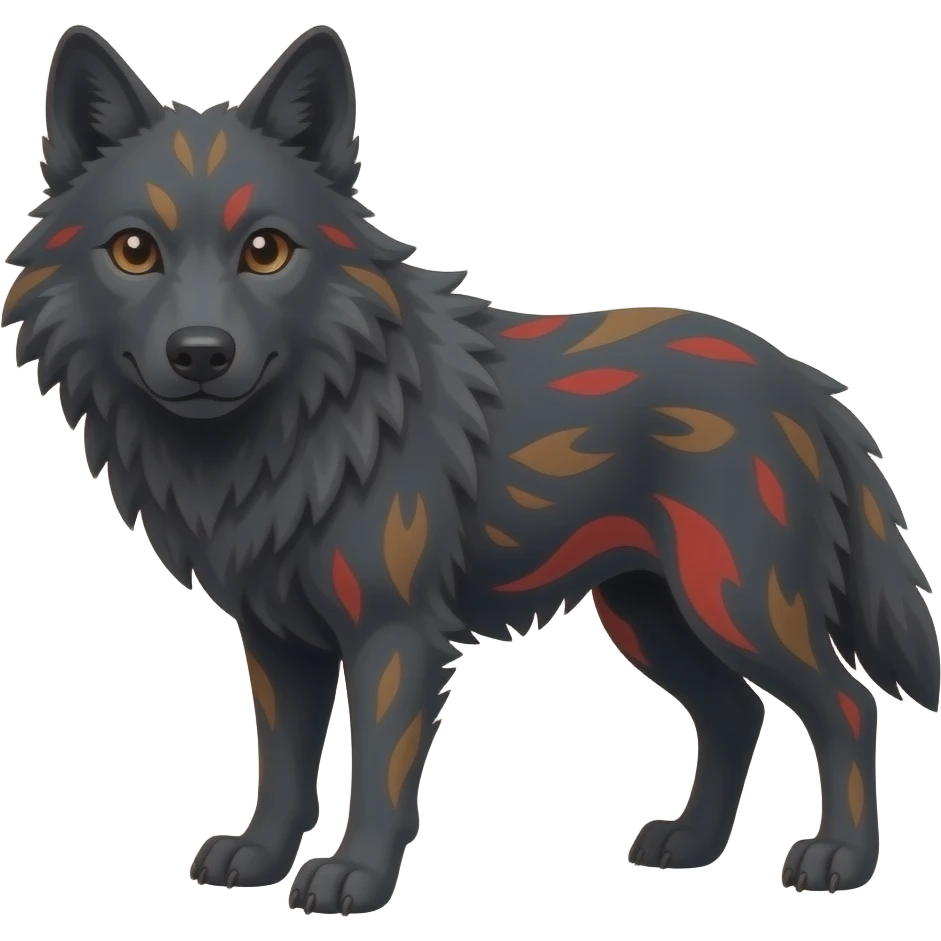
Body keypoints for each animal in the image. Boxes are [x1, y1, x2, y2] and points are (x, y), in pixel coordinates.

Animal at [3, 24, 937, 913]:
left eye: (265, 251)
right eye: (134, 250)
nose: (200, 354)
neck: (304, 430)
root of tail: (800, 378)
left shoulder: (394, 633)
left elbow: (378, 776)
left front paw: (353, 878)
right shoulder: (277, 640)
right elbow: (284, 768)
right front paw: (261, 858)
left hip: (737, 601)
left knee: (846, 704)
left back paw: (839, 859)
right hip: (648, 613)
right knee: (736, 712)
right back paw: (690, 845)